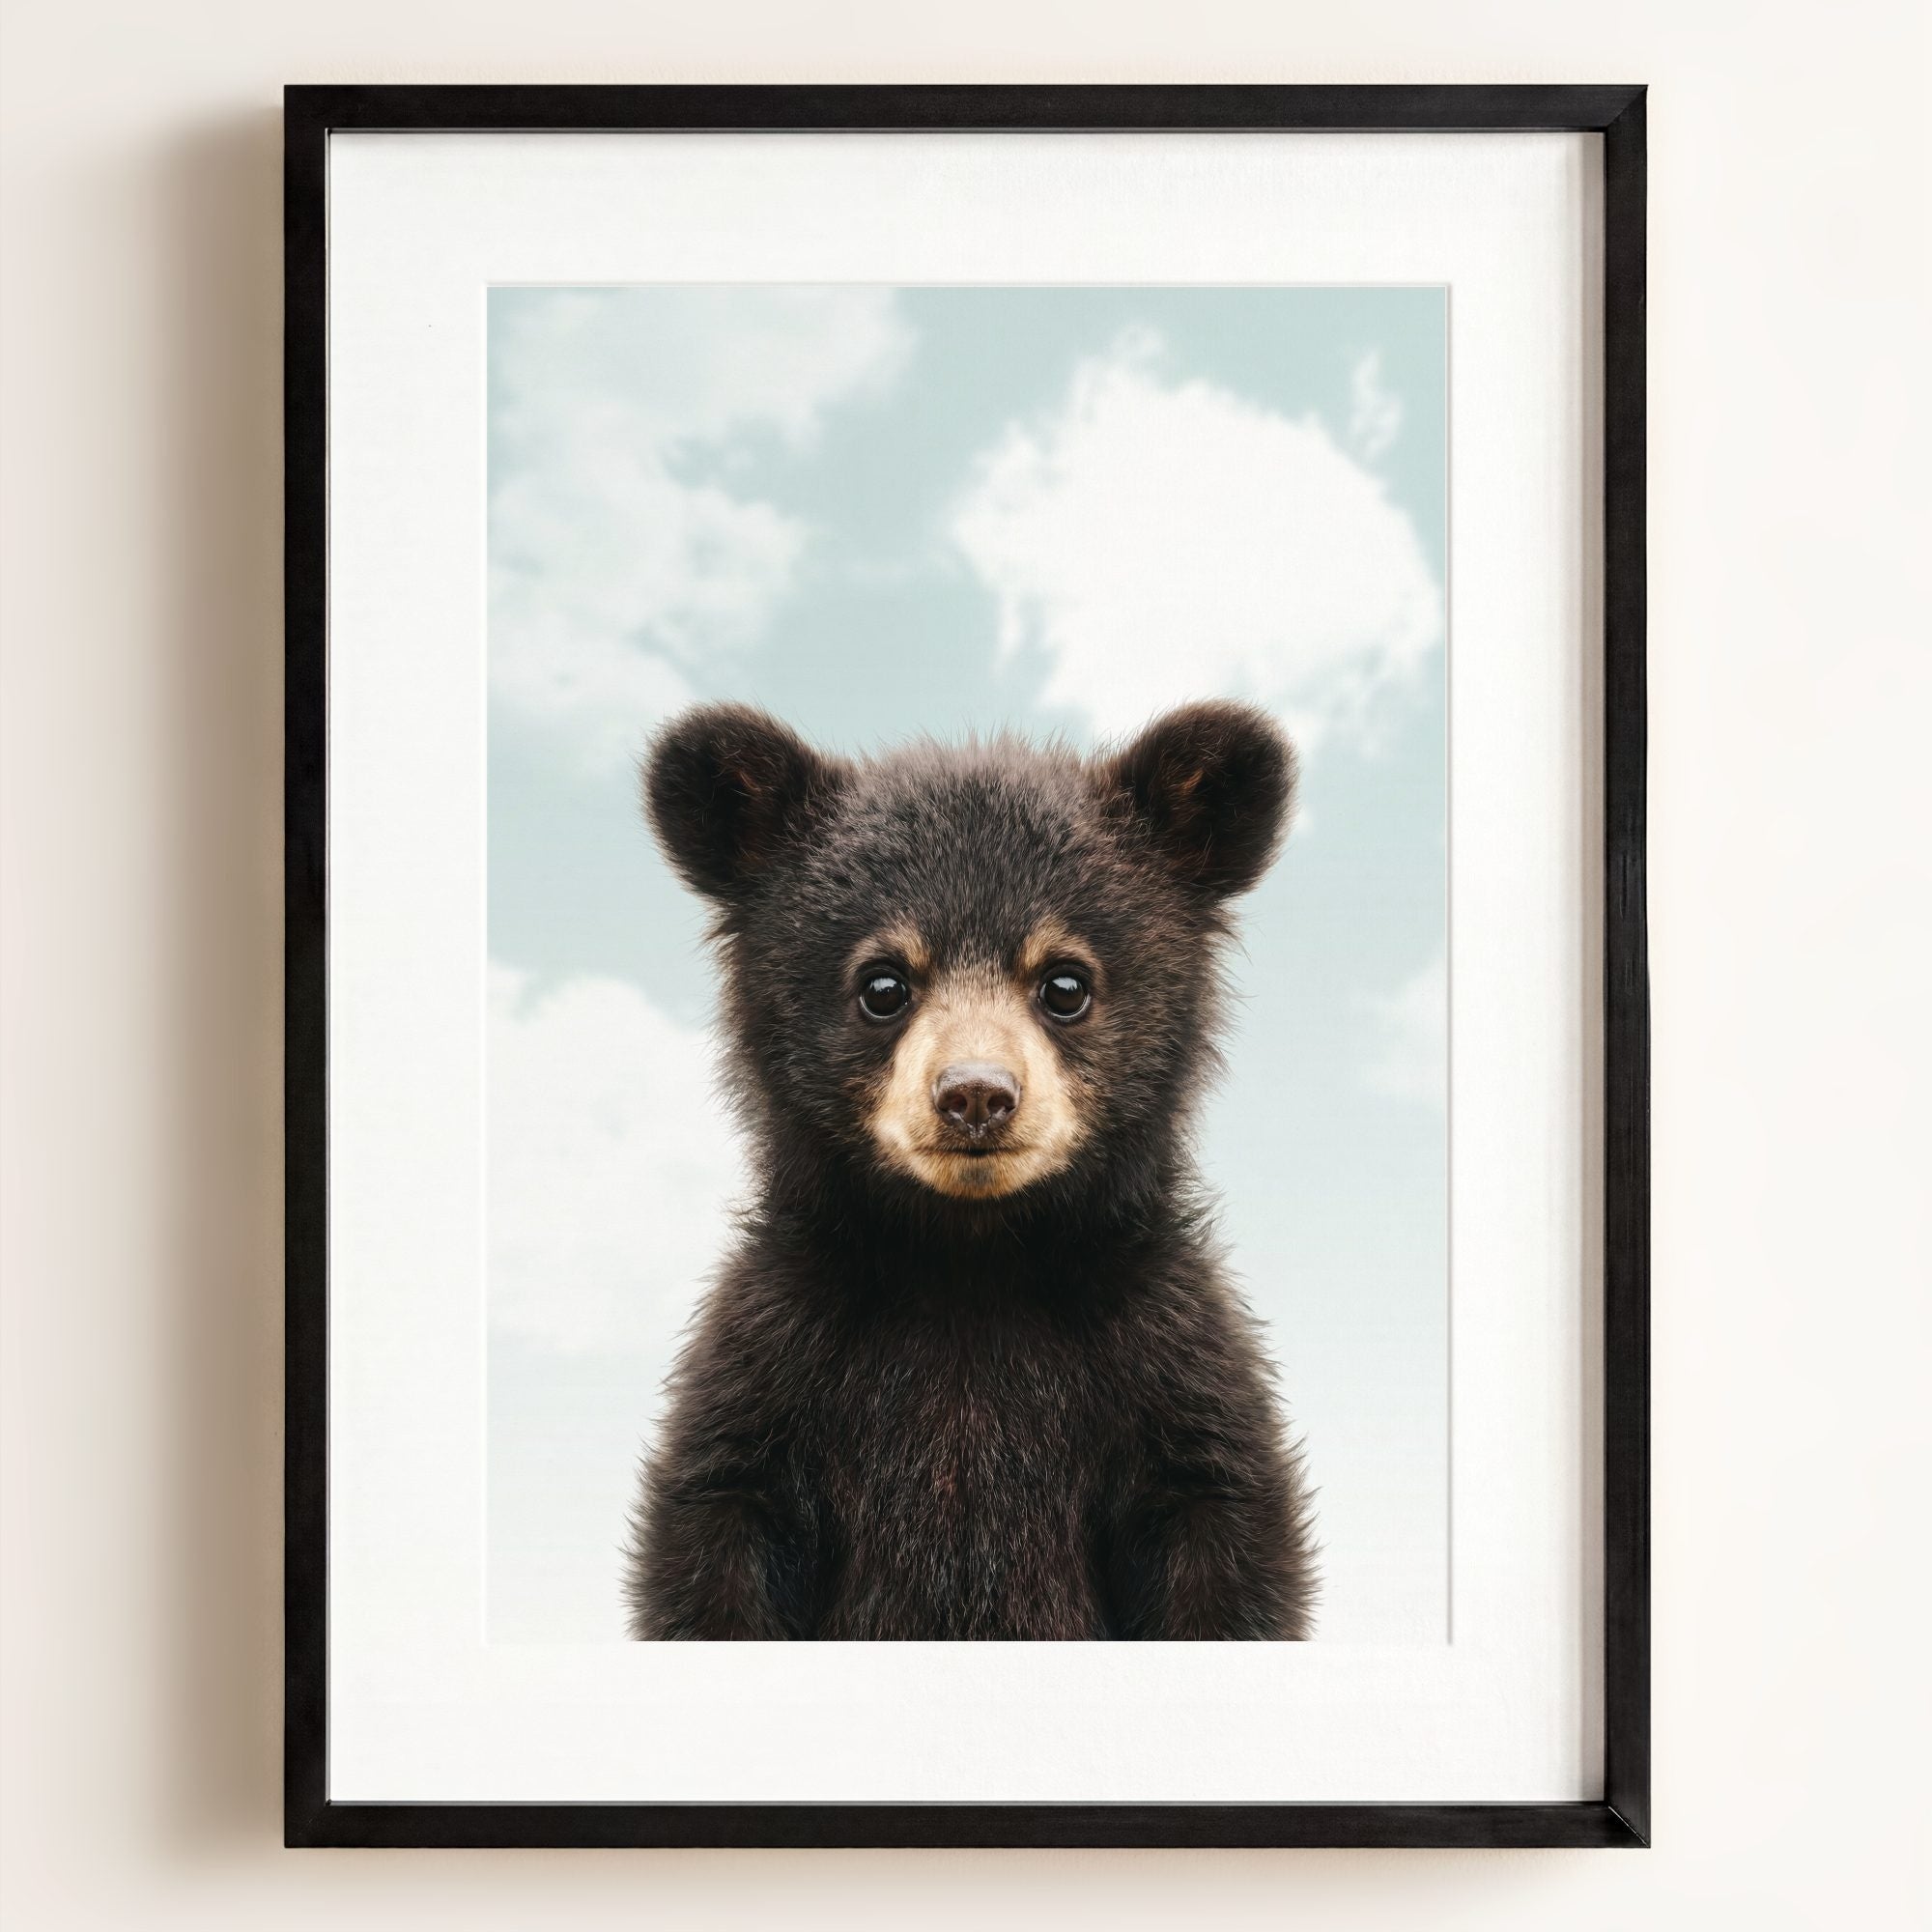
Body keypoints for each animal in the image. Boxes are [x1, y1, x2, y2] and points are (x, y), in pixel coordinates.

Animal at [623, 699, 1316, 1640]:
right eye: (883, 984)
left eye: (1065, 983)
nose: (977, 1095)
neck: (969, 1262)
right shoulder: (773, 1363)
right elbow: (717, 1535)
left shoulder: (1167, 1362)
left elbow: (1221, 1535)